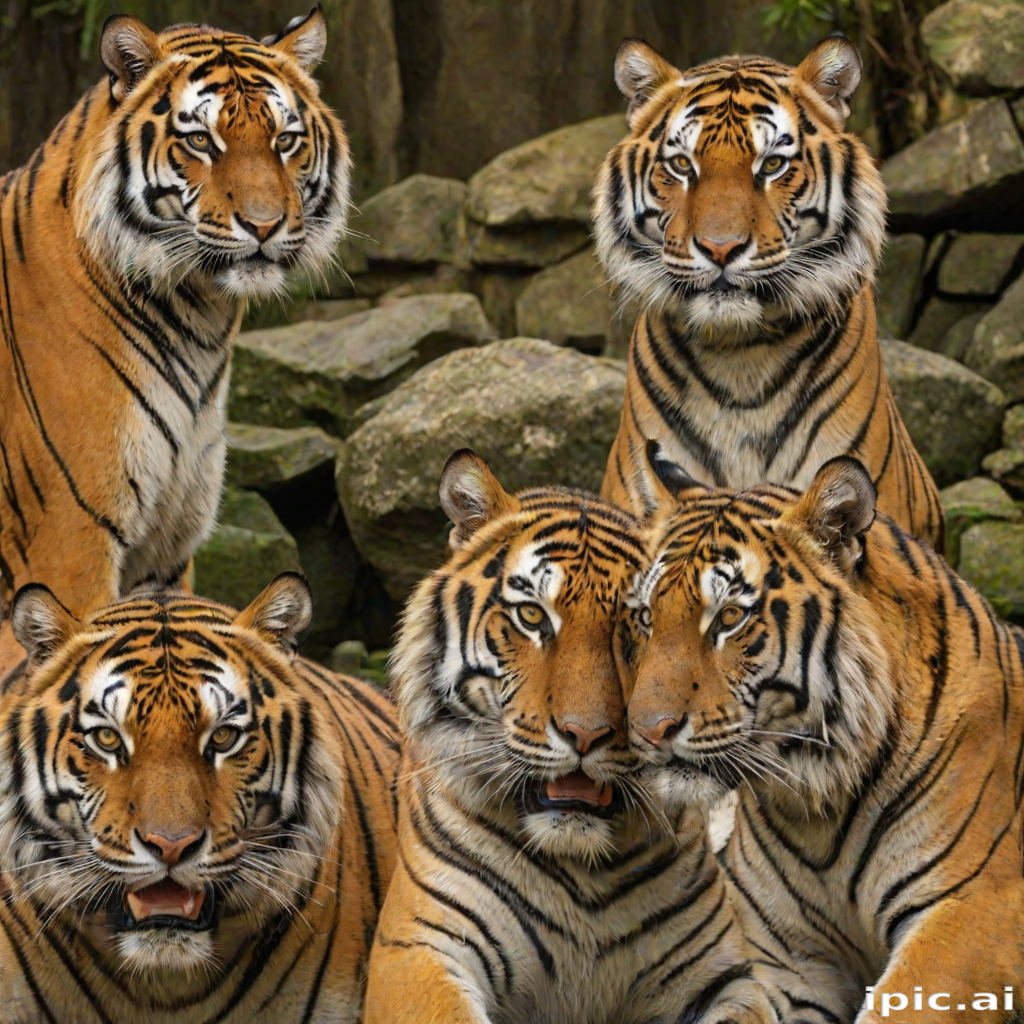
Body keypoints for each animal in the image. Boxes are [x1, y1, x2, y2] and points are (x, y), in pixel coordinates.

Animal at [0, 9, 350, 674]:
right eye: (201, 142)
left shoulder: (166, 541)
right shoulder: (68, 540)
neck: (198, 321)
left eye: (284, 141)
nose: (264, 225)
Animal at [362, 449, 778, 1024]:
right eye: (531, 615)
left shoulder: (723, 976)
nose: (584, 735)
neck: (584, 873)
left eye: (636, 623)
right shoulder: (419, 949)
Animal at [625, 446, 1024, 1024]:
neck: (818, 803)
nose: (647, 729)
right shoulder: (787, 960)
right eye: (645, 617)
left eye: (729, 617)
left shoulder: (971, 912)